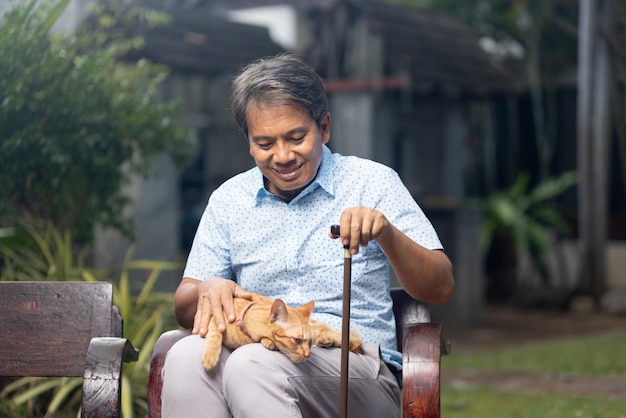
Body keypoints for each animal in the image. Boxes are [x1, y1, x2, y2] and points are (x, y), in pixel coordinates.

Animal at [202, 292, 360, 370]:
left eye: (308, 342)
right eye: (296, 340)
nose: (308, 355)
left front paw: (268, 341)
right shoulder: (214, 316)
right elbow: (215, 335)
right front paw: (210, 357)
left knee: (344, 336)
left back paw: (328, 340)